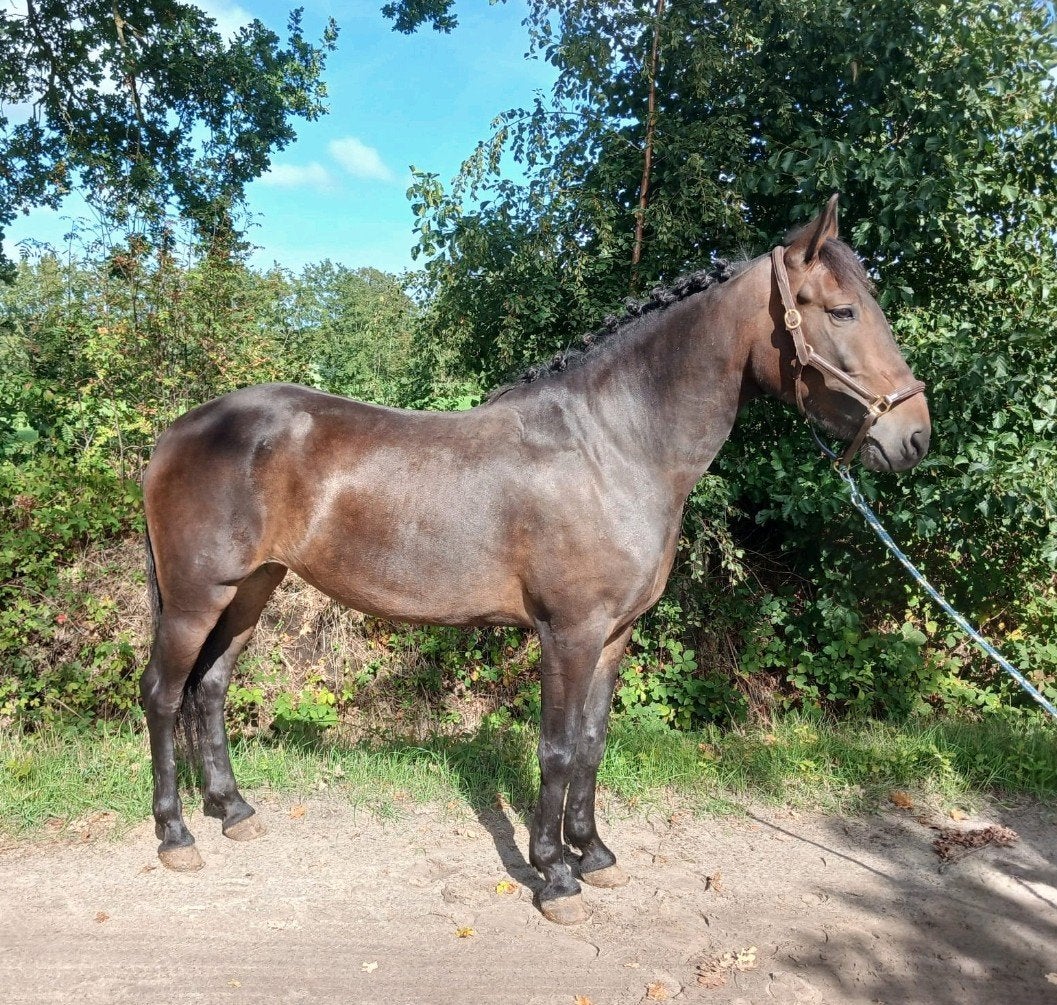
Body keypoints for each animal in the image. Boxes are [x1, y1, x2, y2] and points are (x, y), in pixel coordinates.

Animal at [140, 196, 930, 925]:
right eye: (841, 311)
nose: (914, 436)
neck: (612, 447)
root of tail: (177, 432)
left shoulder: (613, 635)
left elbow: (591, 743)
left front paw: (596, 853)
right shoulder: (568, 634)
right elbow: (554, 748)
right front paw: (553, 874)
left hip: (250, 590)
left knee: (209, 689)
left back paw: (233, 809)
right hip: (195, 597)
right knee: (163, 694)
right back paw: (176, 834)